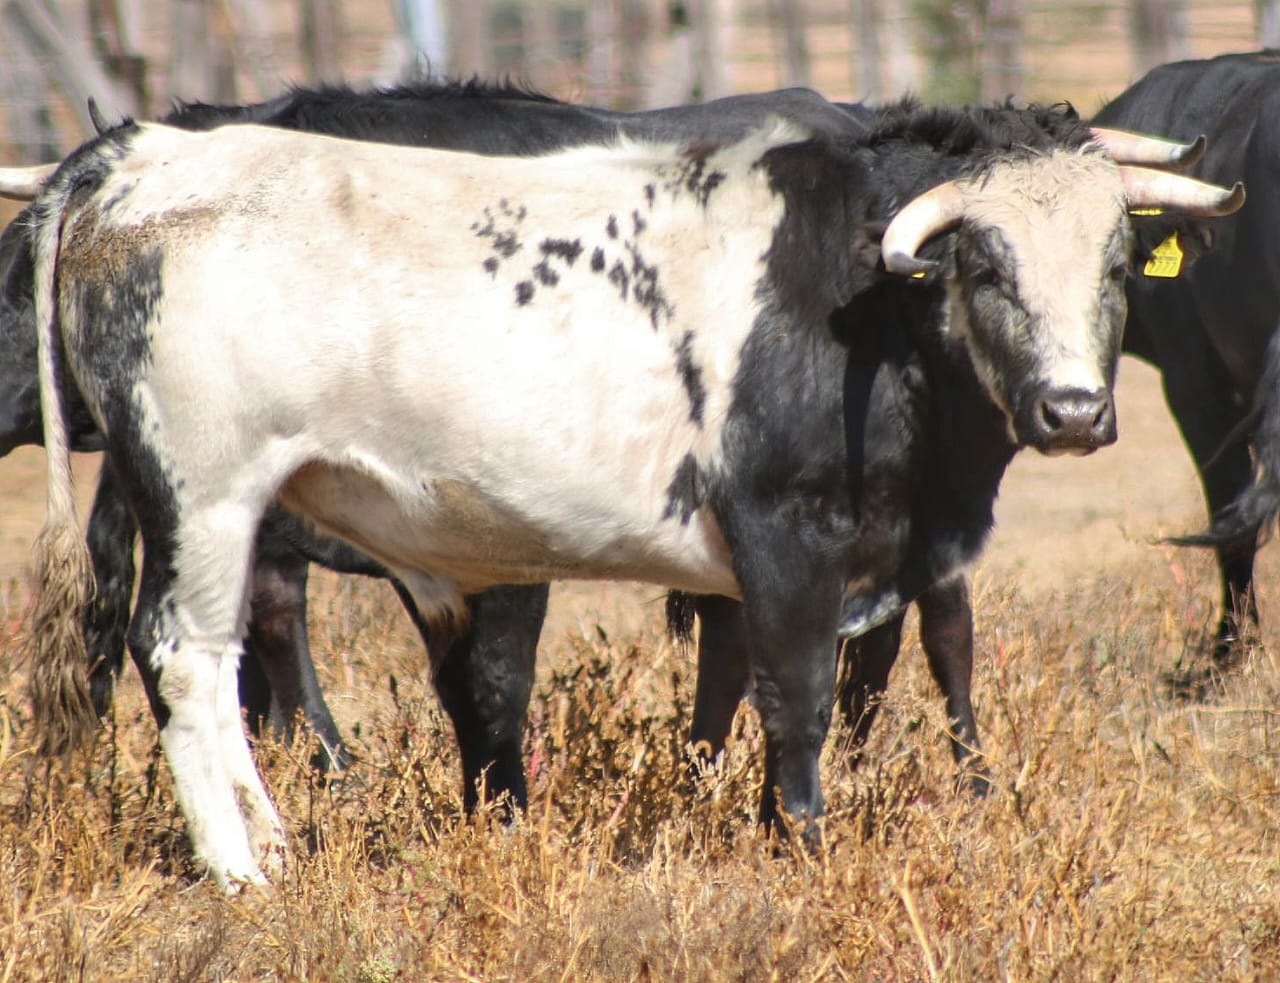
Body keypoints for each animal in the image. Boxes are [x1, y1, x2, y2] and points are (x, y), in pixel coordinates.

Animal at [20, 101, 1239, 890]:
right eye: (984, 265)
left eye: (1117, 265)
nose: (1073, 410)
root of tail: (145, 154)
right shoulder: (790, 540)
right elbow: (796, 705)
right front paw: (801, 851)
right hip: (205, 493)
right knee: (187, 656)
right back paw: (242, 871)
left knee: (216, 661)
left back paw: (272, 844)